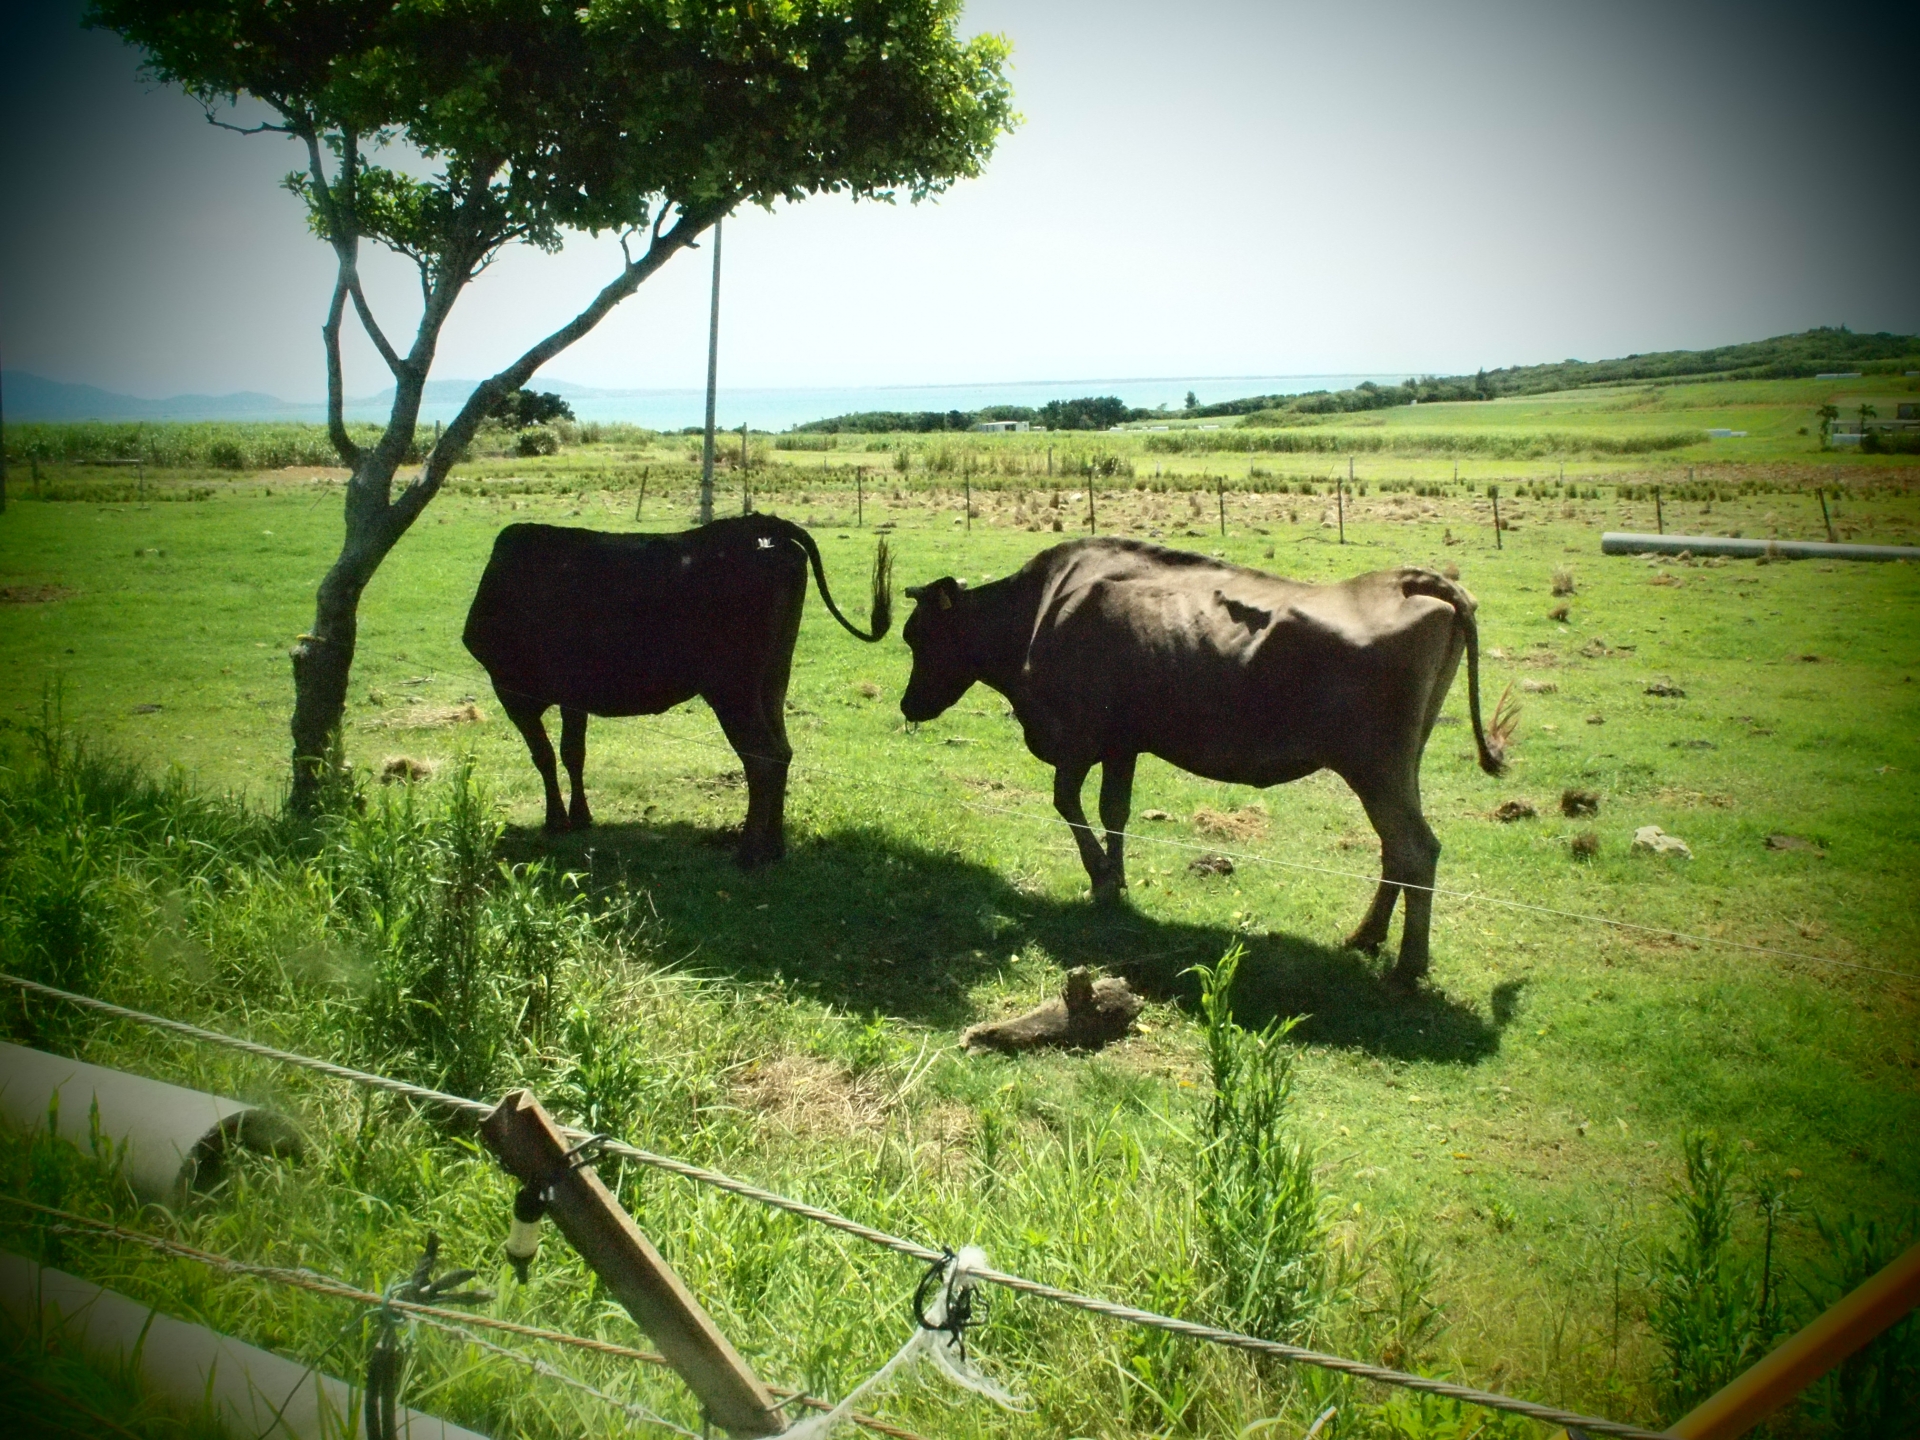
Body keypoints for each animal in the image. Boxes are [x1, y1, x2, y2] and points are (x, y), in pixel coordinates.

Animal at [464, 514, 890, 864]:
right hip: (771, 679)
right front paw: (580, 816)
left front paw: (556, 821)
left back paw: (750, 852)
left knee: (762, 756)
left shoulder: (512, 691)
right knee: (782, 750)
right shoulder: (572, 695)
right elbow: (572, 753)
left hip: (731, 687)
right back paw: (774, 845)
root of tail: (757, 524)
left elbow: (544, 755)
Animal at [898, 537, 1512, 990]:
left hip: (1375, 766)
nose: (907, 704)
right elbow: (1114, 809)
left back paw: (1408, 967)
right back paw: (1365, 938)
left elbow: (1067, 802)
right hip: (1398, 767)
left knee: (1416, 849)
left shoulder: (1077, 735)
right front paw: (1115, 881)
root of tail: (1405, 580)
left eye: (921, 637)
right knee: (1396, 849)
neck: (1040, 610)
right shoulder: (1122, 740)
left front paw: (1100, 878)